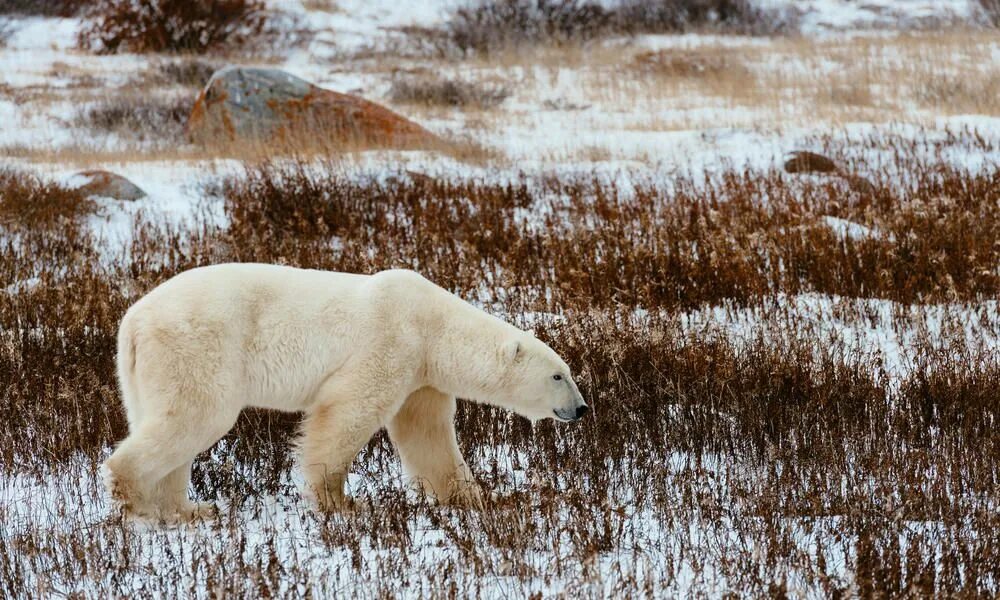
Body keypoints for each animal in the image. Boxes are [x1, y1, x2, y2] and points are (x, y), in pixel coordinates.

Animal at [101, 262, 584, 520]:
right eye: (559, 375)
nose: (580, 409)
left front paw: (475, 498)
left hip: (144, 372)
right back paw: (138, 503)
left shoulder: (422, 375)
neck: (432, 325)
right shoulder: (390, 341)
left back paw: (187, 510)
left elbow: (427, 435)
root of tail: (133, 322)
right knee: (197, 415)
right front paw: (341, 502)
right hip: (197, 346)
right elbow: (348, 412)